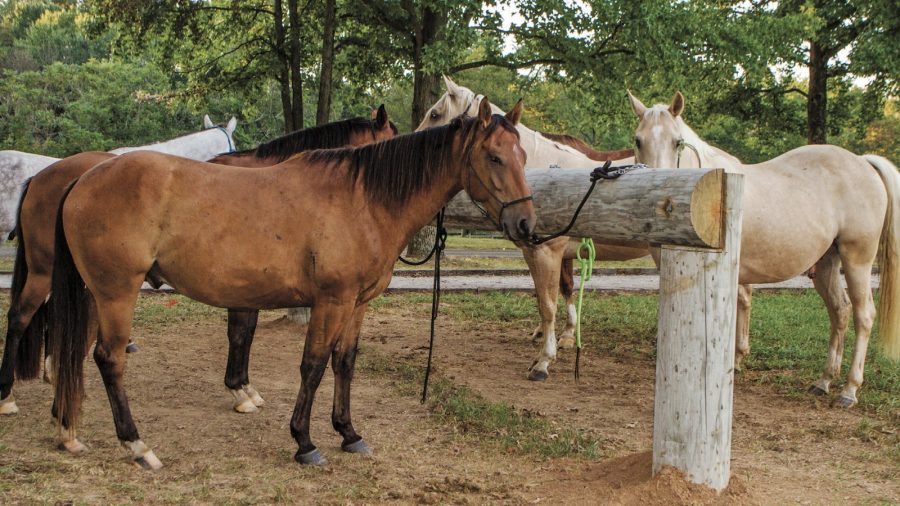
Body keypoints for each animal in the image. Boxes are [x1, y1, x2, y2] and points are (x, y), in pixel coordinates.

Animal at [49, 98, 535, 468]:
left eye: (523, 157)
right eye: (494, 157)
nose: (526, 224)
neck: (362, 199)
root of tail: (83, 178)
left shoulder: (357, 304)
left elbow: (344, 362)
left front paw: (349, 432)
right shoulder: (331, 301)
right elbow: (313, 365)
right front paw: (305, 441)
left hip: (94, 295)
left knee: (74, 353)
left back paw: (68, 429)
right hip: (115, 293)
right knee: (109, 359)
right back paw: (137, 445)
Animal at [417, 76, 645, 381]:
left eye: (435, 114)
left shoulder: (549, 252)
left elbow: (549, 304)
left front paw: (545, 360)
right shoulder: (538, 251)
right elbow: (550, 295)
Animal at [628, 91, 900, 408]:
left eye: (677, 141)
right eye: (638, 140)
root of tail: (864, 163)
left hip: (857, 260)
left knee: (863, 315)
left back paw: (849, 390)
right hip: (827, 263)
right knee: (840, 310)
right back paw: (824, 381)